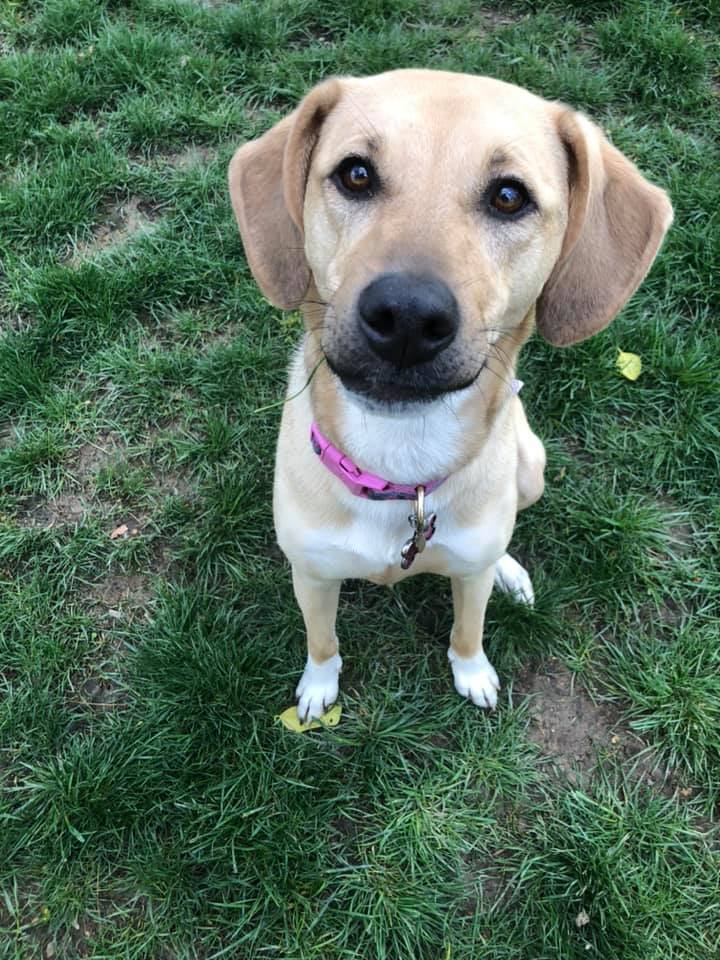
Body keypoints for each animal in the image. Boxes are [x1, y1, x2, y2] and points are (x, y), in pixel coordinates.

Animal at [228, 69, 672, 720]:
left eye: (509, 196)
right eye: (355, 174)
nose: (407, 317)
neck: (400, 460)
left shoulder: (469, 574)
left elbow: (468, 627)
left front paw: (473, 672)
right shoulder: (311, 575)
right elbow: (322, 640)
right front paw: (317, 689)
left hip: (531, 466)